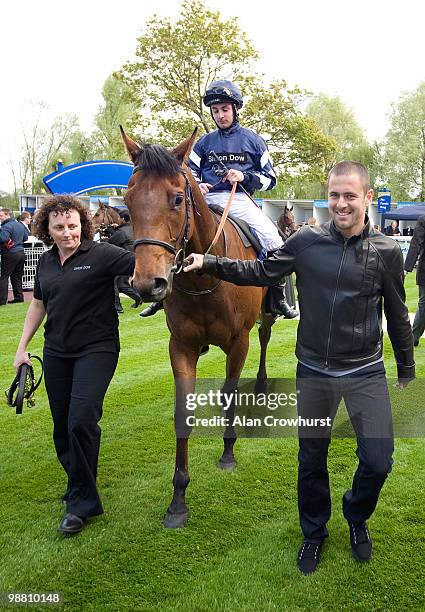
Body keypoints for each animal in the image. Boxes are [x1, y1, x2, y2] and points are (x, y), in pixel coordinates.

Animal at [121, 126, 276, 528]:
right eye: (127, 200)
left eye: (177, 198)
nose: (148, 284)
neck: (204, 276)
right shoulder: (181, 346)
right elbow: (183, 413)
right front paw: (178, 498)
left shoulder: (238, 342)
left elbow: (230, 393)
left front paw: (228, 452)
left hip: (266, 316)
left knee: (266, 336)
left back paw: (264, 382)